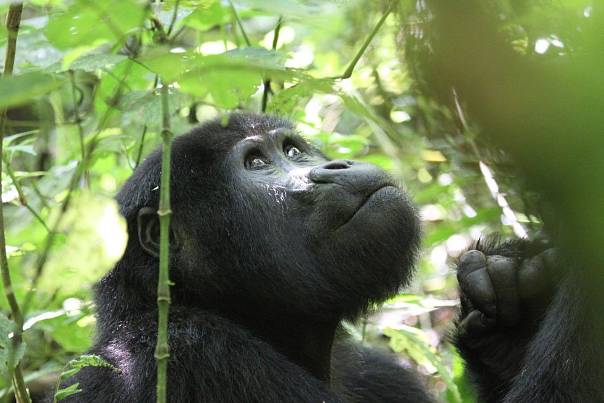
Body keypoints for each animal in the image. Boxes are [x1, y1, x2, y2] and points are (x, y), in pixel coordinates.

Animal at [59, 113, 564, 403]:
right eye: (257, 163)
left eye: (293, 149)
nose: (335, 165)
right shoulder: (192, 351)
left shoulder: (376, 373)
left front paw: (509, 305)